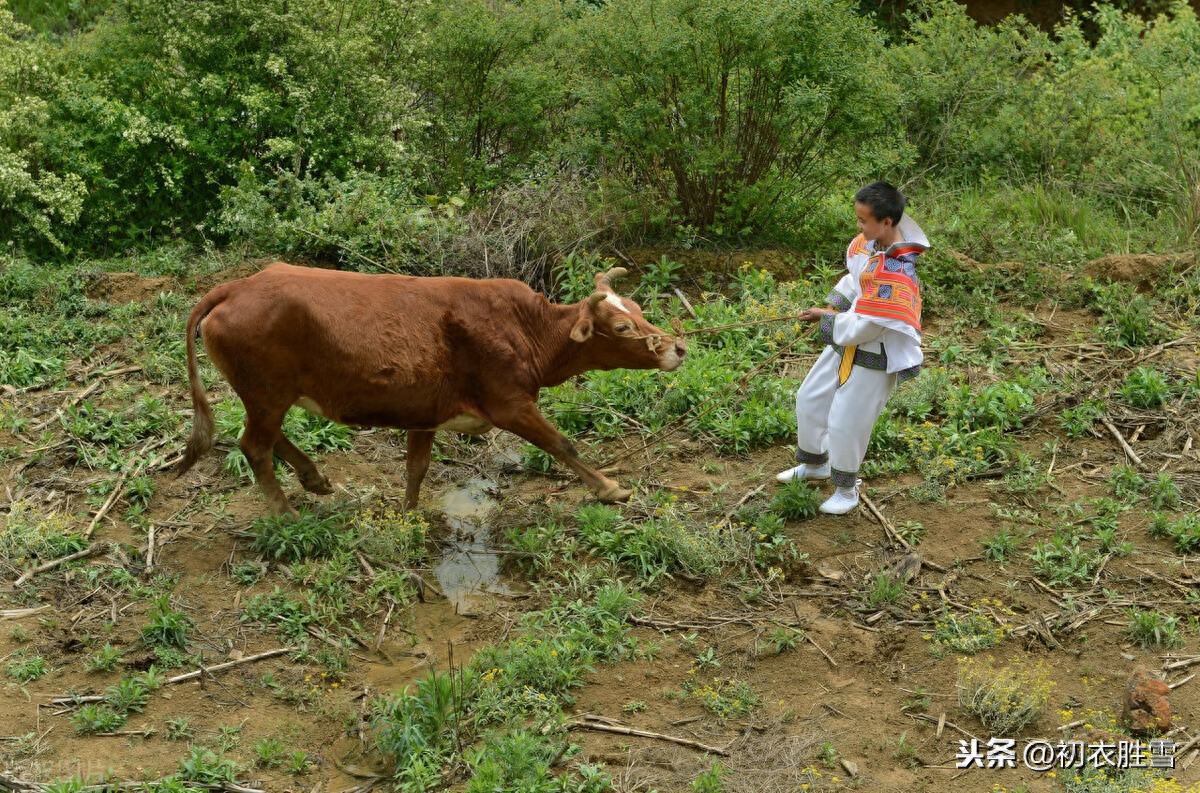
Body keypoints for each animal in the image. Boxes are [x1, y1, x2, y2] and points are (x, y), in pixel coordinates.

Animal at [175, 262, 691, 515]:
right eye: (621, 327)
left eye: (639, 308)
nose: (679, 348)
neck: (524, 329)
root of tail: (236, 287)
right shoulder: (509, 405)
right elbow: (562, 443)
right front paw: (609, 489)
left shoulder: (423, 413)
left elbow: (416, 469)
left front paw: (408, 515)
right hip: (266, 393)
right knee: (254, 446)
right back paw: (286, 513)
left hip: (267, 396)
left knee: (262, 438)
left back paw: (313, 478)